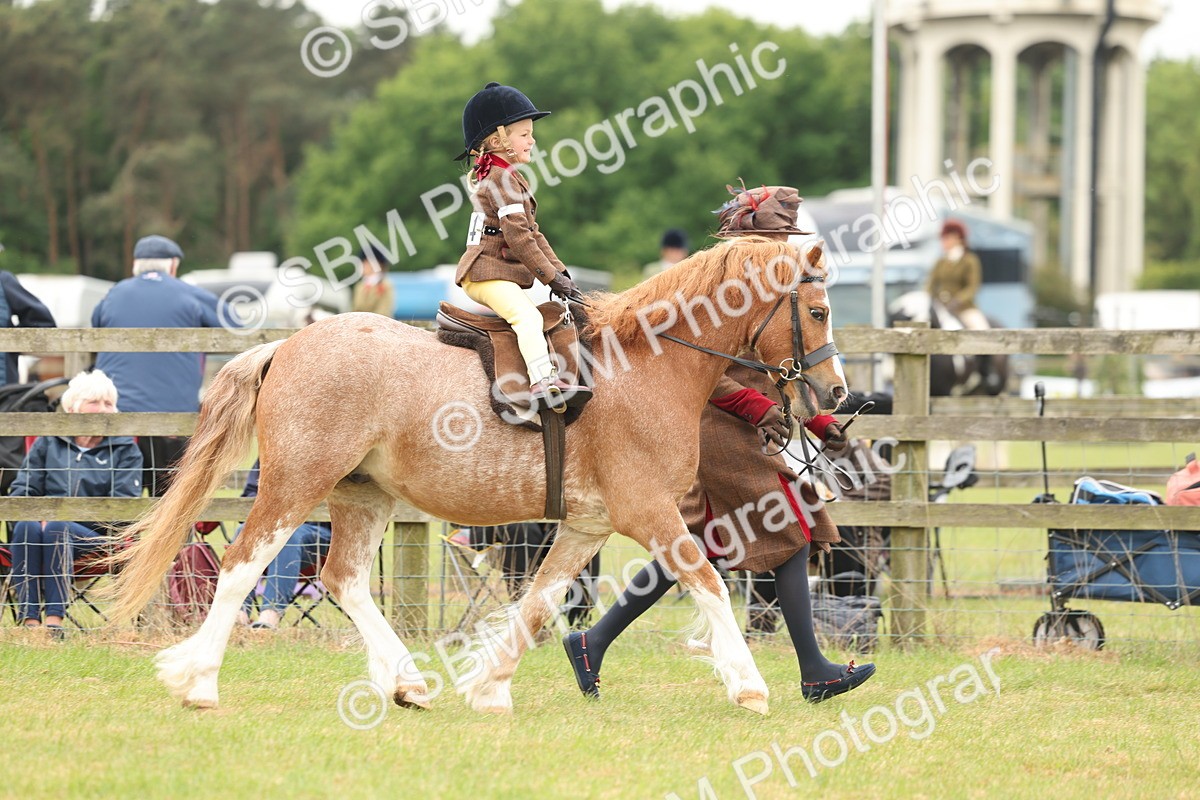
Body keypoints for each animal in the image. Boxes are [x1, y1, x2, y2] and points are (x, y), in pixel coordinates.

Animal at [103, 238, 847, 716]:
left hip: (362, 495)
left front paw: (490, 685)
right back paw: (199, 683)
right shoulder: (651, 514)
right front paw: (749, 686)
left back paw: (406, 682)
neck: (646, 368)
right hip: (295, 484)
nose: (838, 394)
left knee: (345, 580)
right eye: (817, 311)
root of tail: (287, 344)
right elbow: (710, 585)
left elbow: (540, 602)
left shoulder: (588, 525)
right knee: (240, 565)